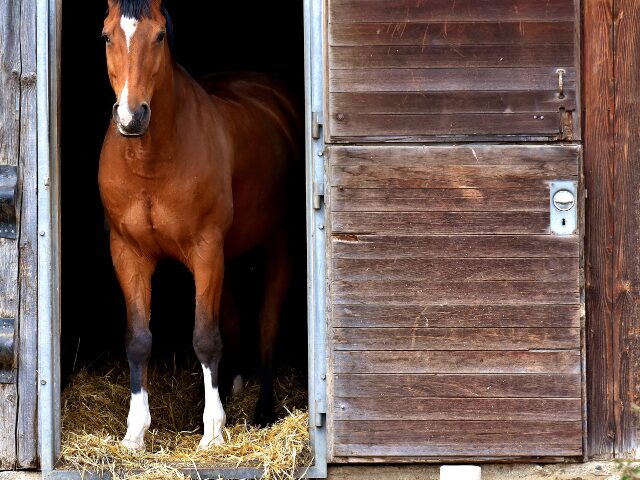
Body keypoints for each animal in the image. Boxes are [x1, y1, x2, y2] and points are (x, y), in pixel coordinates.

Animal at [97, 0, 300, 450]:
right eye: (106, 35)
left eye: (159, 36)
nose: (132, 117)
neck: (151, 161)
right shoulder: (127, 253)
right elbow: (138, 340)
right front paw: (135, 432)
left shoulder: (206, 251)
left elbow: (205, 338)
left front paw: (212, 432)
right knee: (235, 316)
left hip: (275, 244)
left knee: (267, 323)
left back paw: (262, 410)